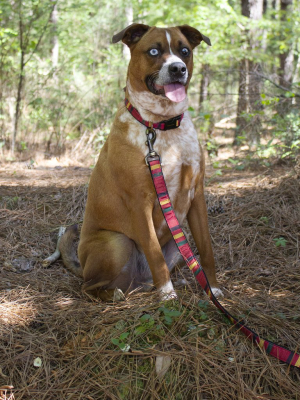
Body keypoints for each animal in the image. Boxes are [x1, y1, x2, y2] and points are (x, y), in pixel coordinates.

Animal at [58, 24, 223, 300]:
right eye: (154, 51)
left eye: (185, 51)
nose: (178, 68)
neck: (160, 125)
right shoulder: (140, 203)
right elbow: (155, 254)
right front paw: (168, 295)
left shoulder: (196, 195)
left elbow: (207, 250)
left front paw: (213, 289)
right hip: (117, 243)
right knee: (89, 287)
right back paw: (118, 294)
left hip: (178, 245)